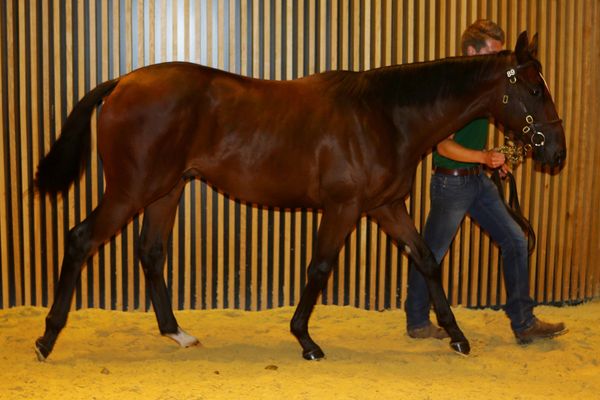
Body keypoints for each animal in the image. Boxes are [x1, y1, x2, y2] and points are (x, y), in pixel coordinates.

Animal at [35, 31, 564, 360]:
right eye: (536, 89)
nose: (556, 151)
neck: (385, 116)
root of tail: (122, 82)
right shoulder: (344, 208)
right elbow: (320, 268)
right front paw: (305, 340)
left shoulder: (386, 207)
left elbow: (428, 260)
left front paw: (457, 337)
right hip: (130, 191)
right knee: (80, 239)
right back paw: (46, 339)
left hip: (166, 191)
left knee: (151, 251)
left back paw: (177, 334)